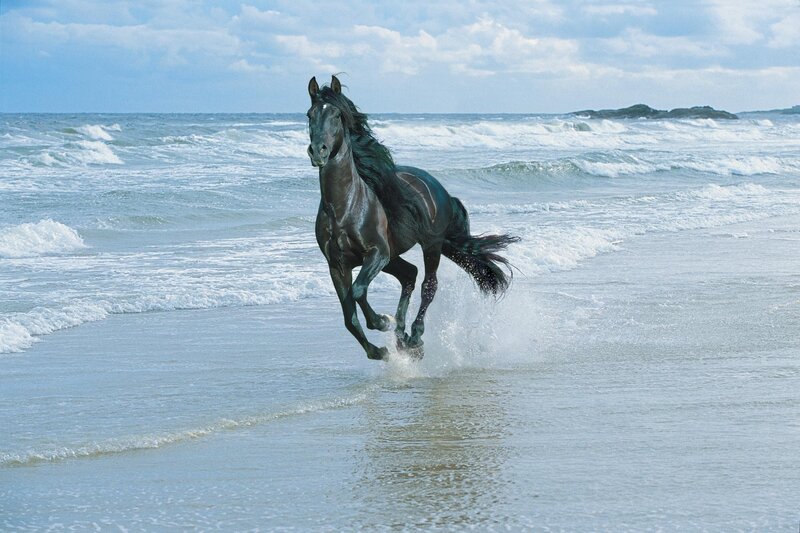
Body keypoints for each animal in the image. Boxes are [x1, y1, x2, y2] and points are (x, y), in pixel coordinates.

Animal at [307, 75, 519, 360]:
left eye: (337, 115)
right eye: (309, 115)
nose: (318, 151)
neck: (344, 208)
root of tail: (439, 189)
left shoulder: (377, 253)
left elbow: (359, 291)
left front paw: (382, 321)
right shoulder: (337, 265)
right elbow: (349, 317)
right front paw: (379, 350)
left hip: (430, 245)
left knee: (428, 285)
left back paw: (414, 336)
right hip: (395, 256)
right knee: (409, 274)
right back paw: (402, 337)